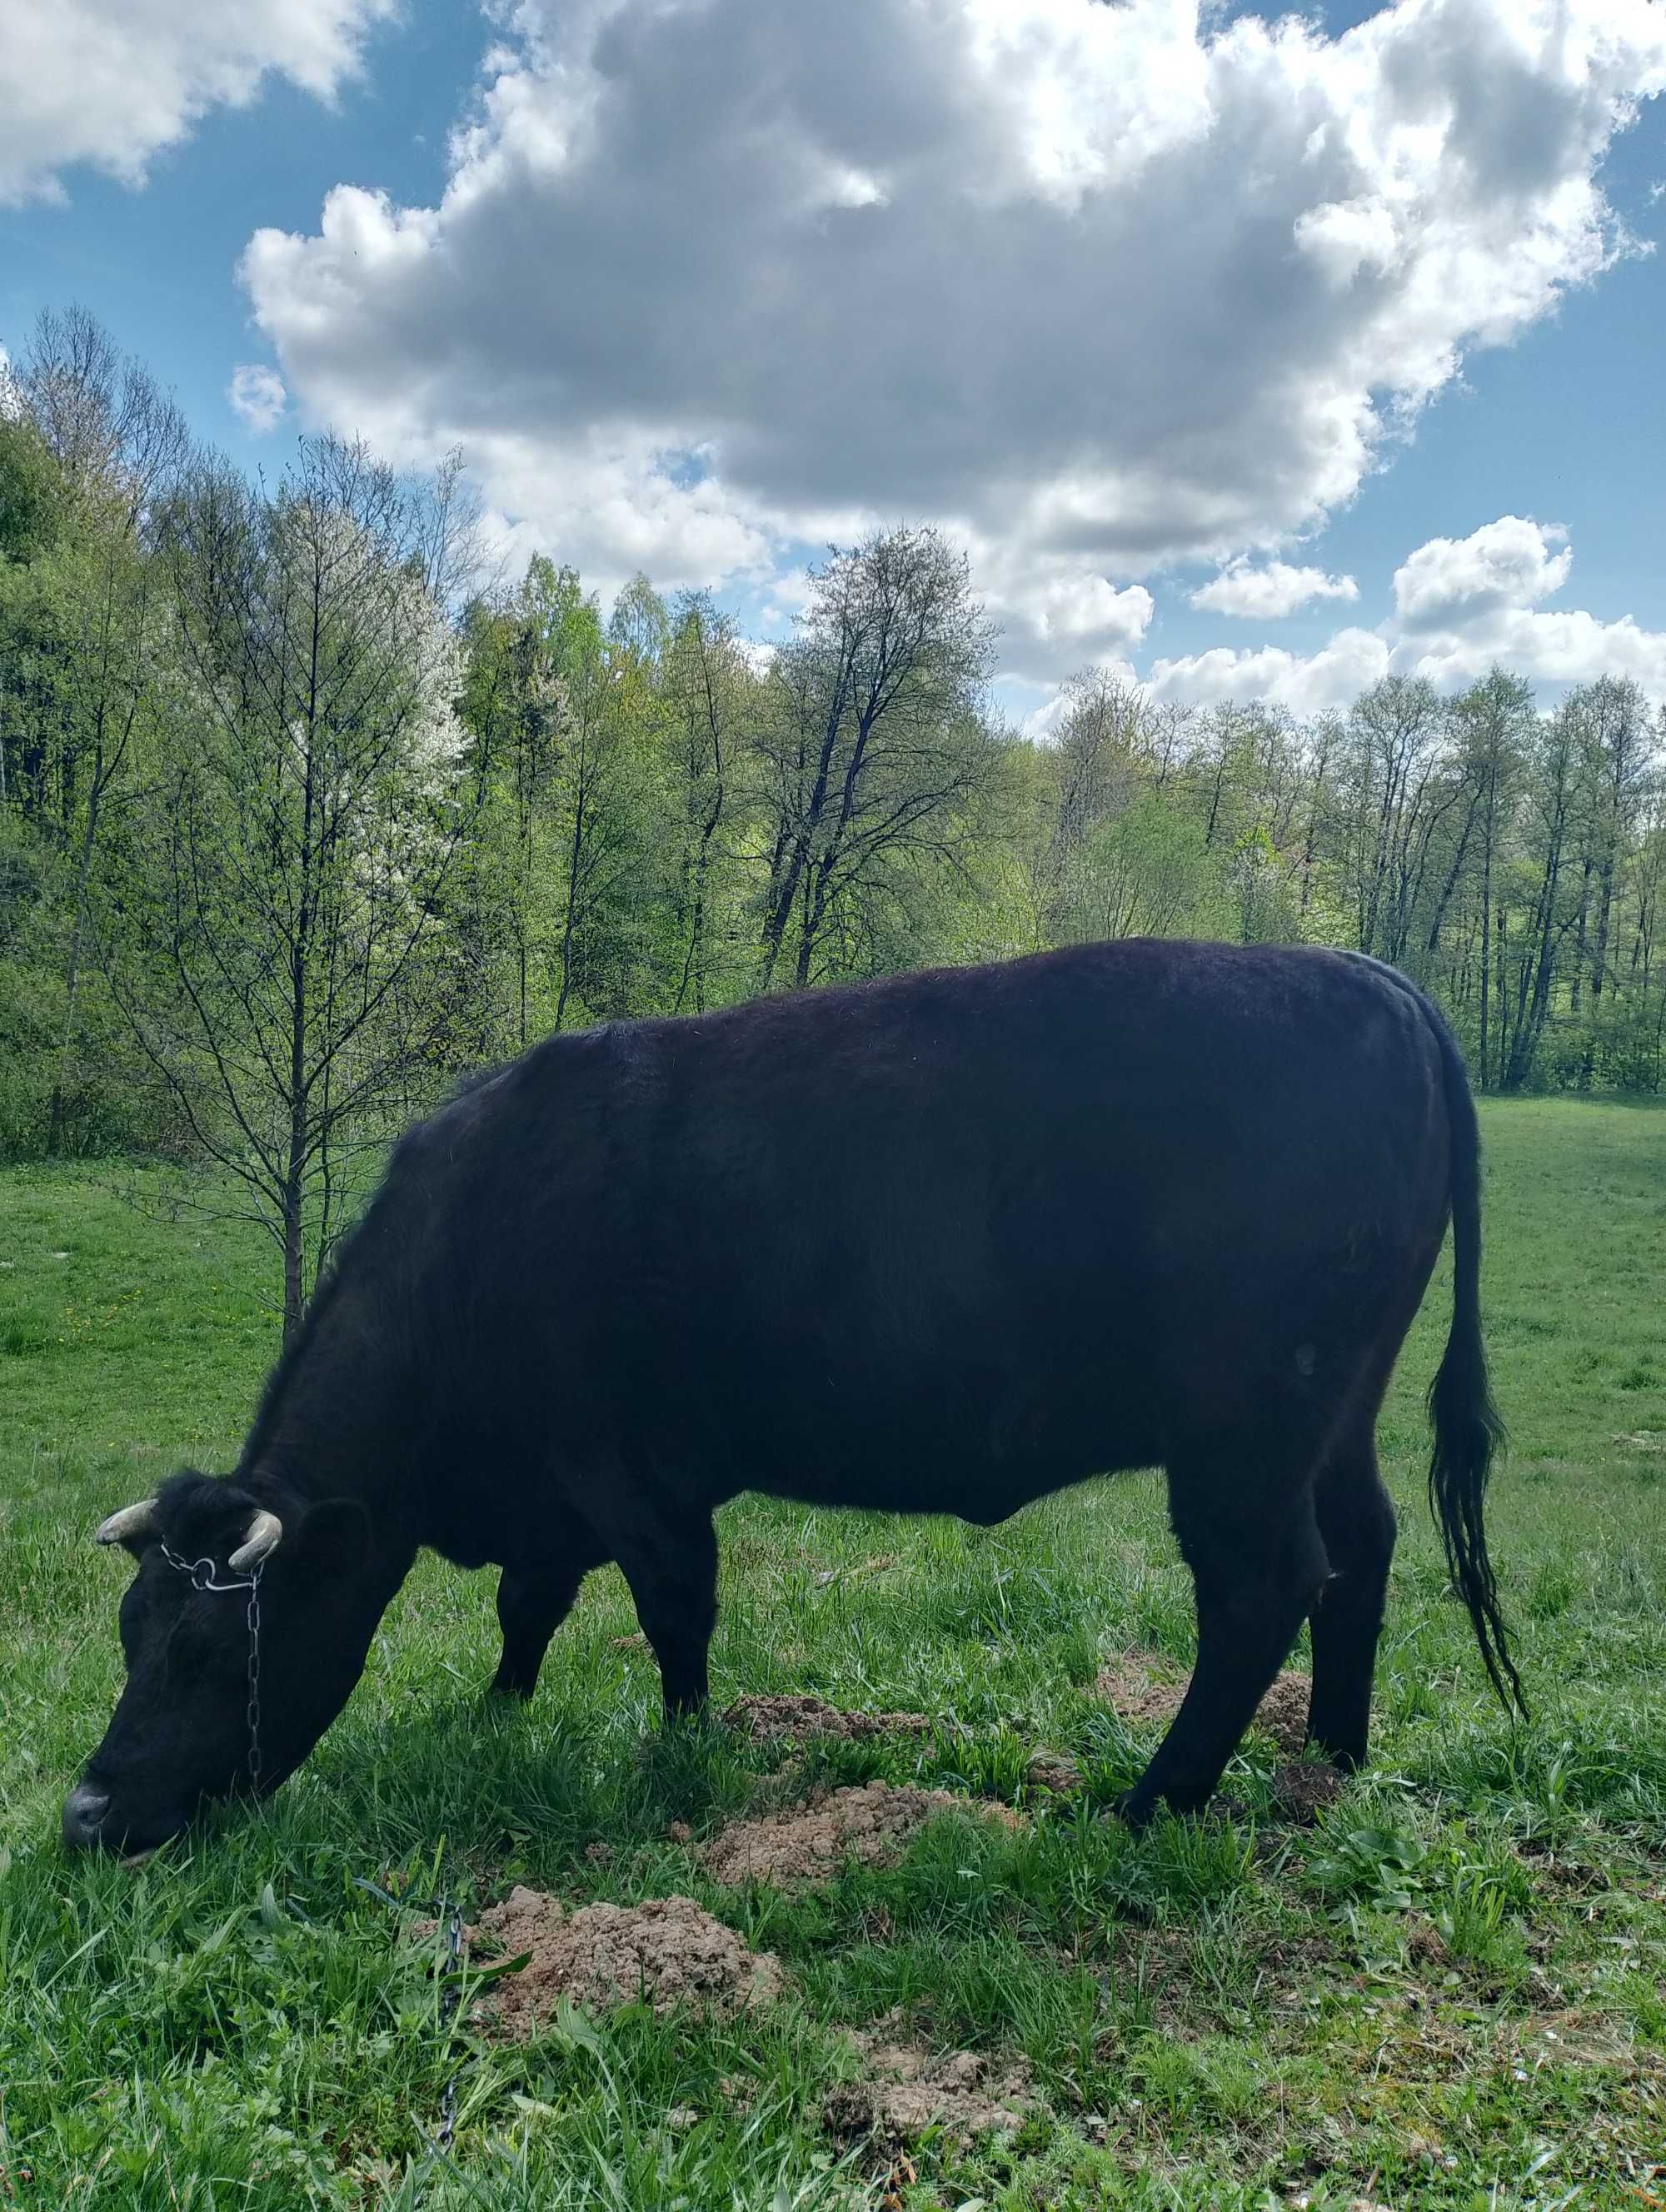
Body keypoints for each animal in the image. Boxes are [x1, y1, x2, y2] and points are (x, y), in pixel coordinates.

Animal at [68, 942, 1522, 1858]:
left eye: (208, 1652)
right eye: (131, 1636)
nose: (84, 1814)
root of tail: (1377, 977)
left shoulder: (635, 1476)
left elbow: (672, 1619)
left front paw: (682, 1752)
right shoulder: (555, 1496)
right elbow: (528, 1608)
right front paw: (495, 1710)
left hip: (1241, 1427)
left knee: (1263, 1588)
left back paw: (1149, 1804)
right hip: (1335, 1411)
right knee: (1366, 1551)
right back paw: (1331, 1758)